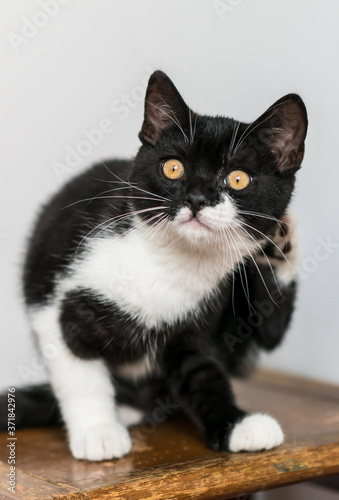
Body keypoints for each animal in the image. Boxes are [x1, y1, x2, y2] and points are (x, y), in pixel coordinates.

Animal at [0, 70, 308, 460]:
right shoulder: (52, 297)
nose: (197, 198)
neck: (172, 262)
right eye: (173, 167)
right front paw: (98, 432)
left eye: (238, 178)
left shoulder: (196, 328)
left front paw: (234, 424)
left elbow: (204, 375)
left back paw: (281, 243)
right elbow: (79, 372)